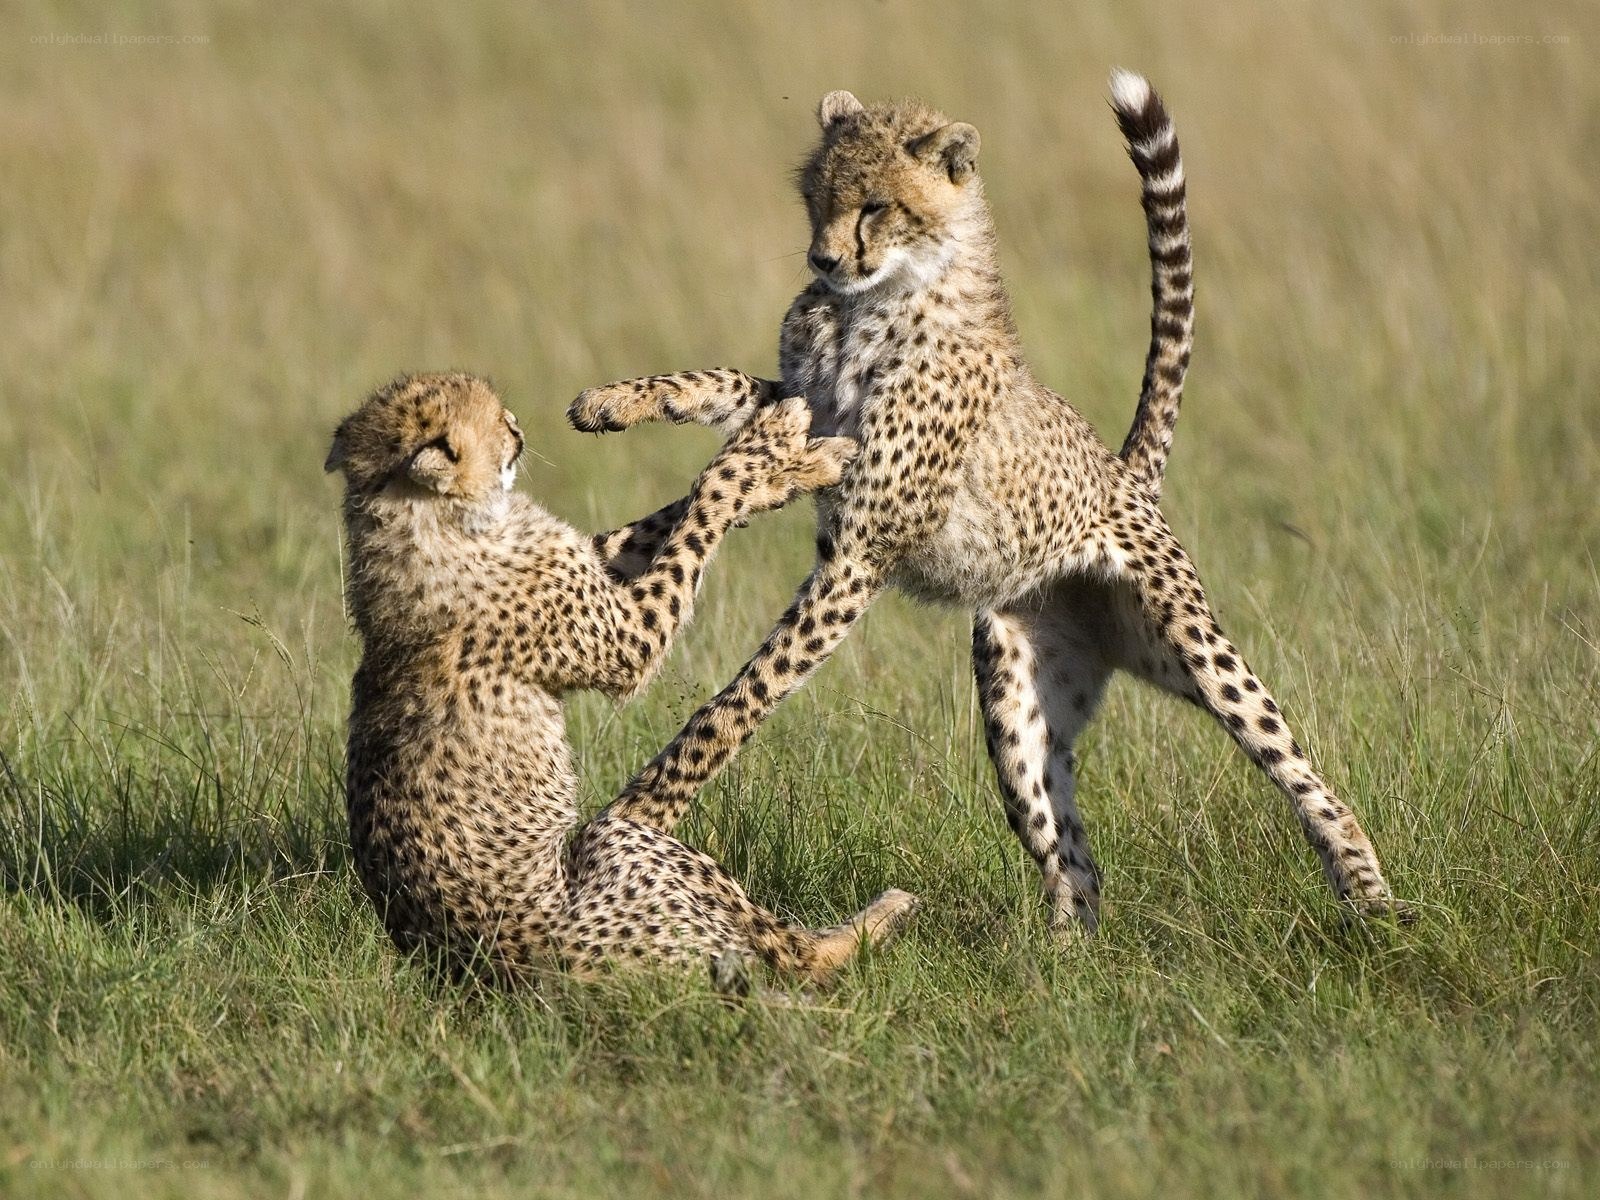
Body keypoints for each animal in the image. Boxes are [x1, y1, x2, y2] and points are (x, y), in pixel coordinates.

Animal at [325, 371, 917, 986]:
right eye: (492, 422)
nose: (516, 426)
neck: (424, 520)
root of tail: (488, 969)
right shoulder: (630, 637)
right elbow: (709, 495)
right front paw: (769, 442)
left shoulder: (592, 562)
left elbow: (662, 516)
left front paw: (792, 467)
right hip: (624, 845)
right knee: (794, 955)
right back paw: (885, 915)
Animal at [567, 71, 1410, 935]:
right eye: (816, 196)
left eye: (875, 205)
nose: (822, 258)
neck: (876, 298)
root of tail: (1123, 475)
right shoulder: (813, 415)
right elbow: (728, 403)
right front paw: (619, 405)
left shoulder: (864, 545)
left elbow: (740, 698)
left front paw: (638, 813)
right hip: (1017, 705)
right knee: (1072, 858)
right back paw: (1060, 960)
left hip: (1190, 647)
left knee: (1292, 763)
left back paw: (1372, 901)